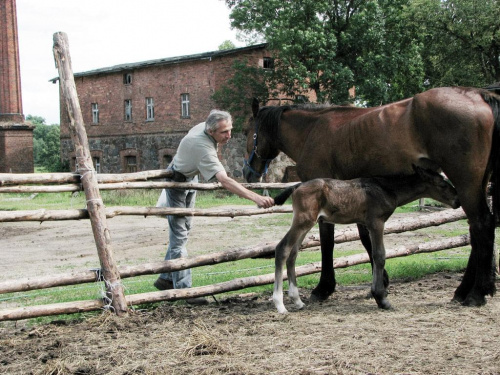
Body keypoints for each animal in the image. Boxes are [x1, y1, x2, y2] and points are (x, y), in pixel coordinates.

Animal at [274, 167, 460, 314]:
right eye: (443, 184)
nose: (457, 201)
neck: (386, 189)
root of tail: (296, 186)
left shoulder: (367, 224)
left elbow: (373, 254)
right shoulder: (376, 223)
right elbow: (379, 255)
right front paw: (382, 299)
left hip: (306, 224)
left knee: (293, 254)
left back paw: (298, 301)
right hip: (303, 221)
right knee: (282, 248)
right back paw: (280, 305)